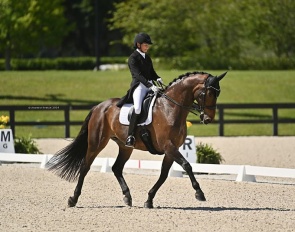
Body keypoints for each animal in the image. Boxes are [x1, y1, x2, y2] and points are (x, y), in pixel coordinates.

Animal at [46, 70, 228, 208]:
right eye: (207, 93)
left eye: (218, 94)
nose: (208, 119)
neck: (171, 108)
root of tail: (99, 106)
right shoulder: (168, 146)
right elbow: (187, 165)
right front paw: (199, 193)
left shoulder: (171, 150)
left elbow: (164, 175)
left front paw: (149, 200)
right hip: (96, 142)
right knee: (85, 166)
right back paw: (73, 199)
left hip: (125, 146)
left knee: (116, 168)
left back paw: (127, 197)